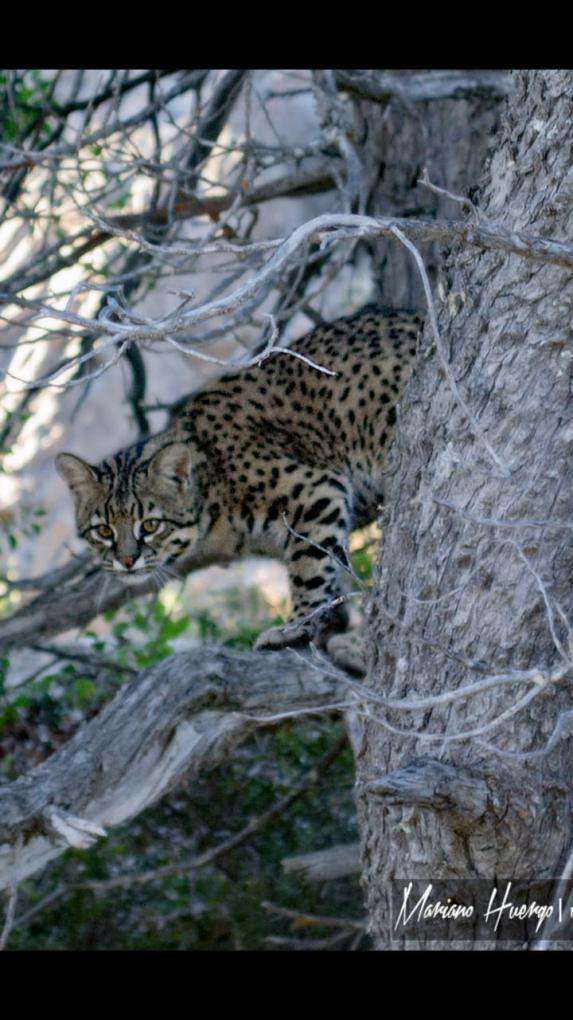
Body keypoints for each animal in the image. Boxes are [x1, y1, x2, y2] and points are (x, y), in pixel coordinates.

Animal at [56, 306, 420, 648]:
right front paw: (331, 622)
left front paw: (295, 626)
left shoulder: (316, 491)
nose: (127, 561)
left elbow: (309, 567)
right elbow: (332, 566)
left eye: (150, 525)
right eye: (103, 530)